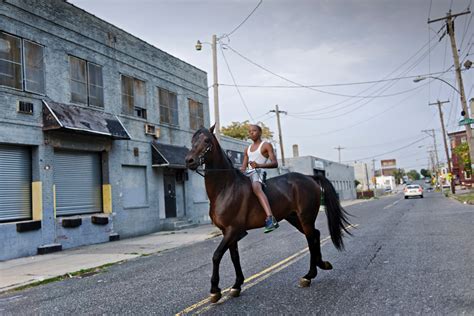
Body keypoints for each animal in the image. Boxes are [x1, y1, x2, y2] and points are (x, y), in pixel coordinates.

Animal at [185, 125, 352, 304]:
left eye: (206, 140)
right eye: (192, 140)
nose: (189, 161)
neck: (226, 188)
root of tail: (309, 177)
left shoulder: (233, 230)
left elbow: (216, 256)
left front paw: (215, 290)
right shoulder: (227, 232)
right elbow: (234, 256)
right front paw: (236, 285)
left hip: (305, 218)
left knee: (311, 239)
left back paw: (309, 275)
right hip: (294, 218)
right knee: (315, 235)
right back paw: (321, 265)